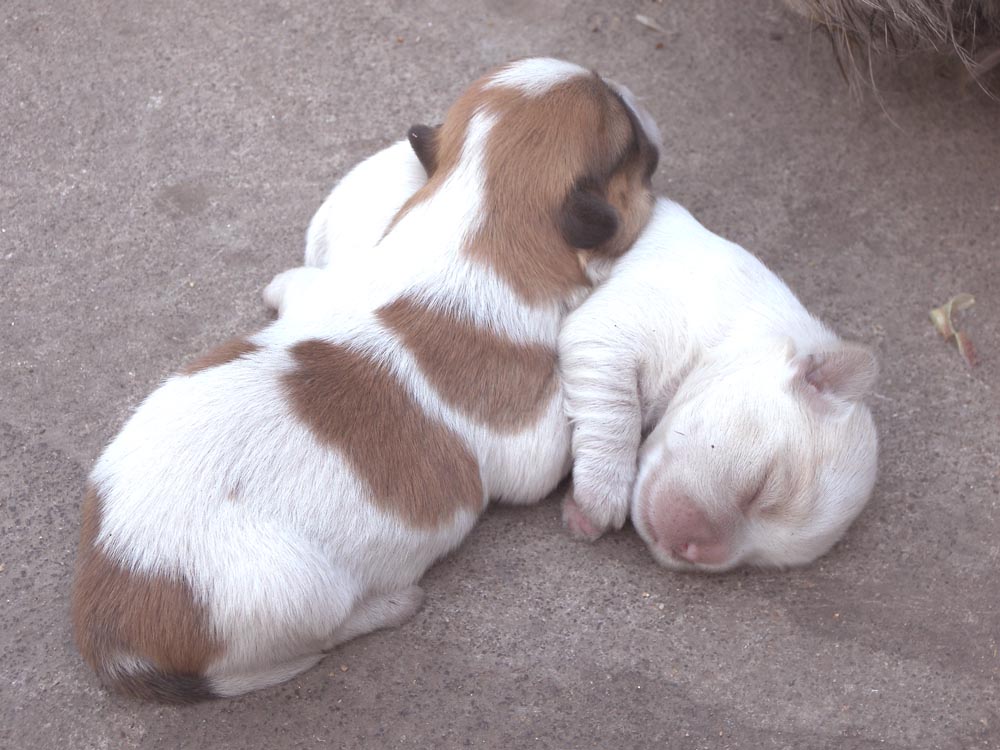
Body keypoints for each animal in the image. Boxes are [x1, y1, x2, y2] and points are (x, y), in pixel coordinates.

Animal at [72, 58, 664, 704]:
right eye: (632, 141)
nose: (634, 92)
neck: (472, 221)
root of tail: (113, 640)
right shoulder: (530, 446)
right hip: (300, 595)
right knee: (313, 640)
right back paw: (388, 606)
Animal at [270, 137, 880, 576]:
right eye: (763, 487)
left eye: (759, 561)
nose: (692, 550)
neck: (743, 329)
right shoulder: (611, 330)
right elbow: (614, 415)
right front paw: (600, 494)